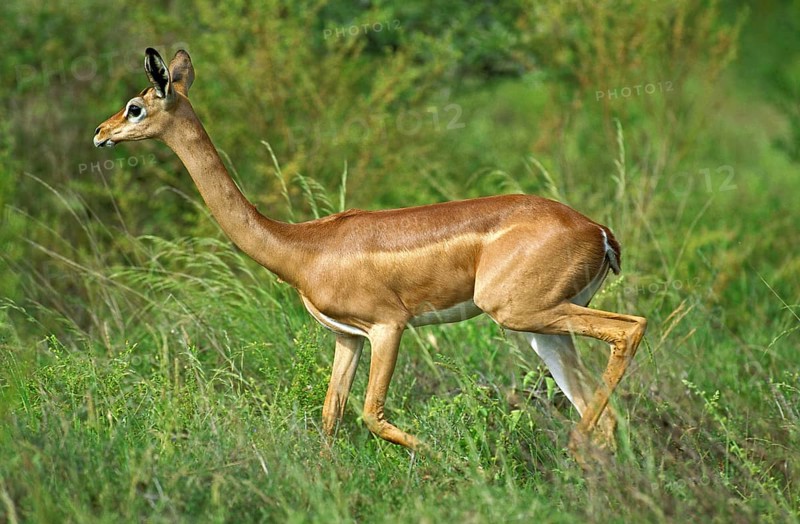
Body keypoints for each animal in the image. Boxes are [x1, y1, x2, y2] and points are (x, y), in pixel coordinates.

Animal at [93, 48, 646, 458]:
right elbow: (330, 417)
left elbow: (371, 414)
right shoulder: (346, 337)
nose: (101, 132)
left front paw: (453, 462)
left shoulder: (388, 326)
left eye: (136, 105)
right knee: (601, 408)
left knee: (630, 330)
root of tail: (598, 231)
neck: (302, 247)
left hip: (522, 312)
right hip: (543, 329)